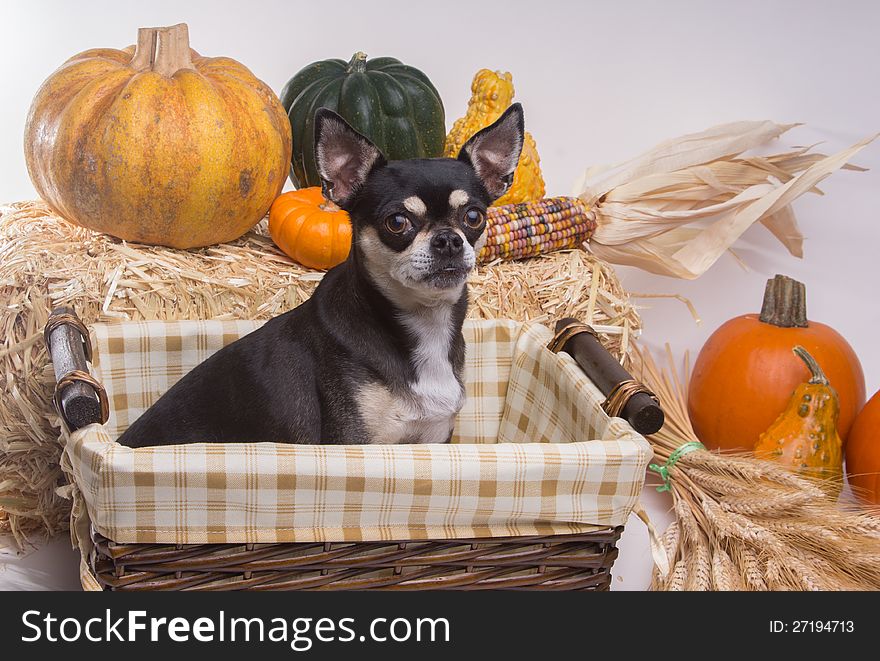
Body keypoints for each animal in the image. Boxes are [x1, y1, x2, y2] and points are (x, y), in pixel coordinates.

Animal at [116, 104, 524, 448]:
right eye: (397, 222)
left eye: (474, 217)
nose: (448, 240)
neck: (423, 323)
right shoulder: (356, 444)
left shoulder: (433, 439)